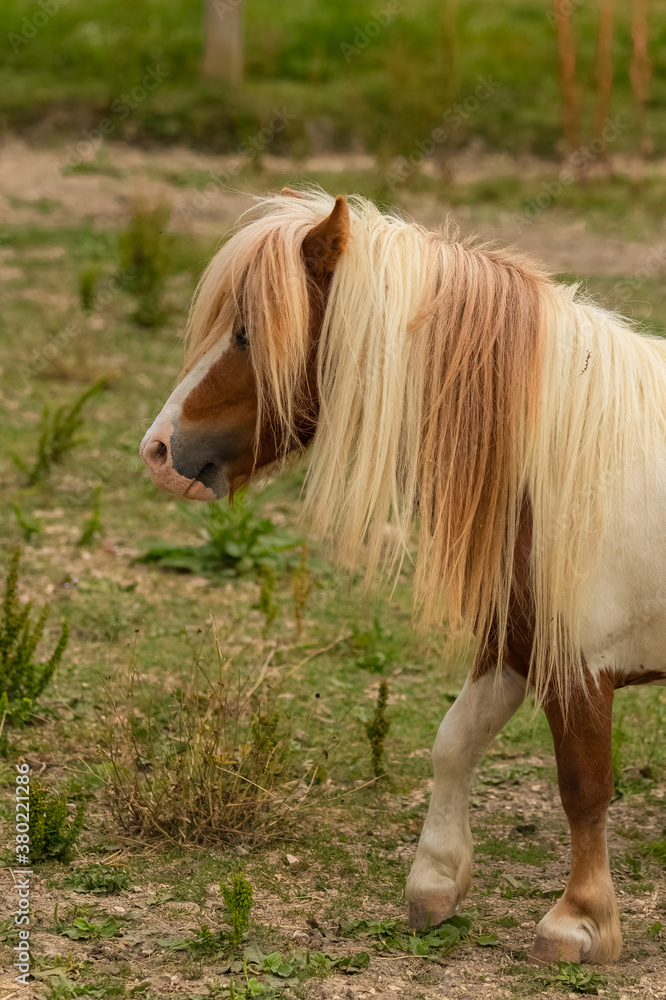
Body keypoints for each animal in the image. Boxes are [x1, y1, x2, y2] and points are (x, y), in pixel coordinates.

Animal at [141, 187, 666, 965]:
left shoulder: (579, 666)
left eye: (245, 334)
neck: (568, 458)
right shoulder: (513, 645)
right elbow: (453, 742)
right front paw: (436, 885)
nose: (158, 450)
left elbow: (583, 784)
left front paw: (579, 921)